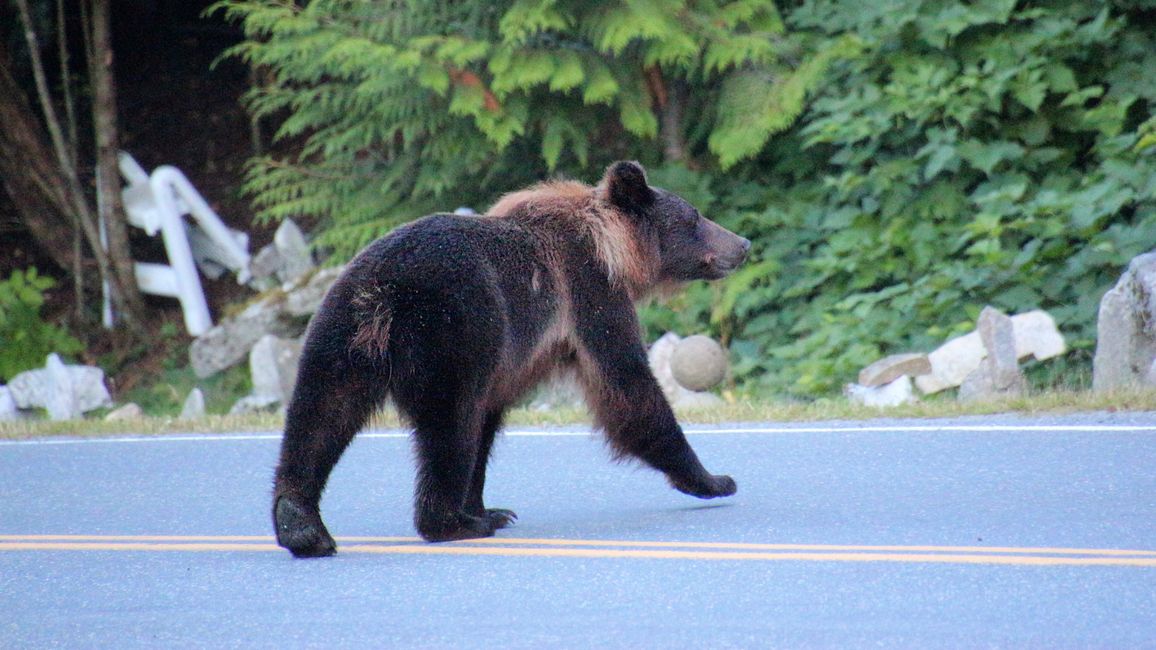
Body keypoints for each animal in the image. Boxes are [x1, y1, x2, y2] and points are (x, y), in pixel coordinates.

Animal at [275, 159, 753, 555]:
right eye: (694, 218)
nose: (743, 244)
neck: (614, 251)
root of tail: (381, 293)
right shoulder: (589, 294)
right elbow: (628, 384)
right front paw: (714, 479)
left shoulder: (507, 359)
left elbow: (487, 425)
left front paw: (489, 507)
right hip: (450, 328)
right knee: (450, 422)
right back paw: (450, 524)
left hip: (340, 334)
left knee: (320, 416)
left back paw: (302, 526)